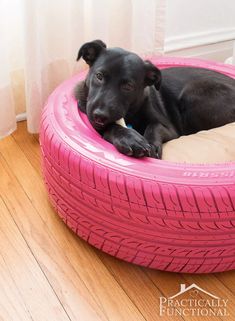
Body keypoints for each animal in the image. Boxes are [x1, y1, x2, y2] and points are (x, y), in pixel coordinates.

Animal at [74, 39, 235, 158]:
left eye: (128, 86)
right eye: (99, 76)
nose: (100, 115)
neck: (131, 112)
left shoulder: (171, 129)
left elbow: (155, 126)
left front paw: (151, 144)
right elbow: (111, 126)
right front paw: (130, 139)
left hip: (193, 92)